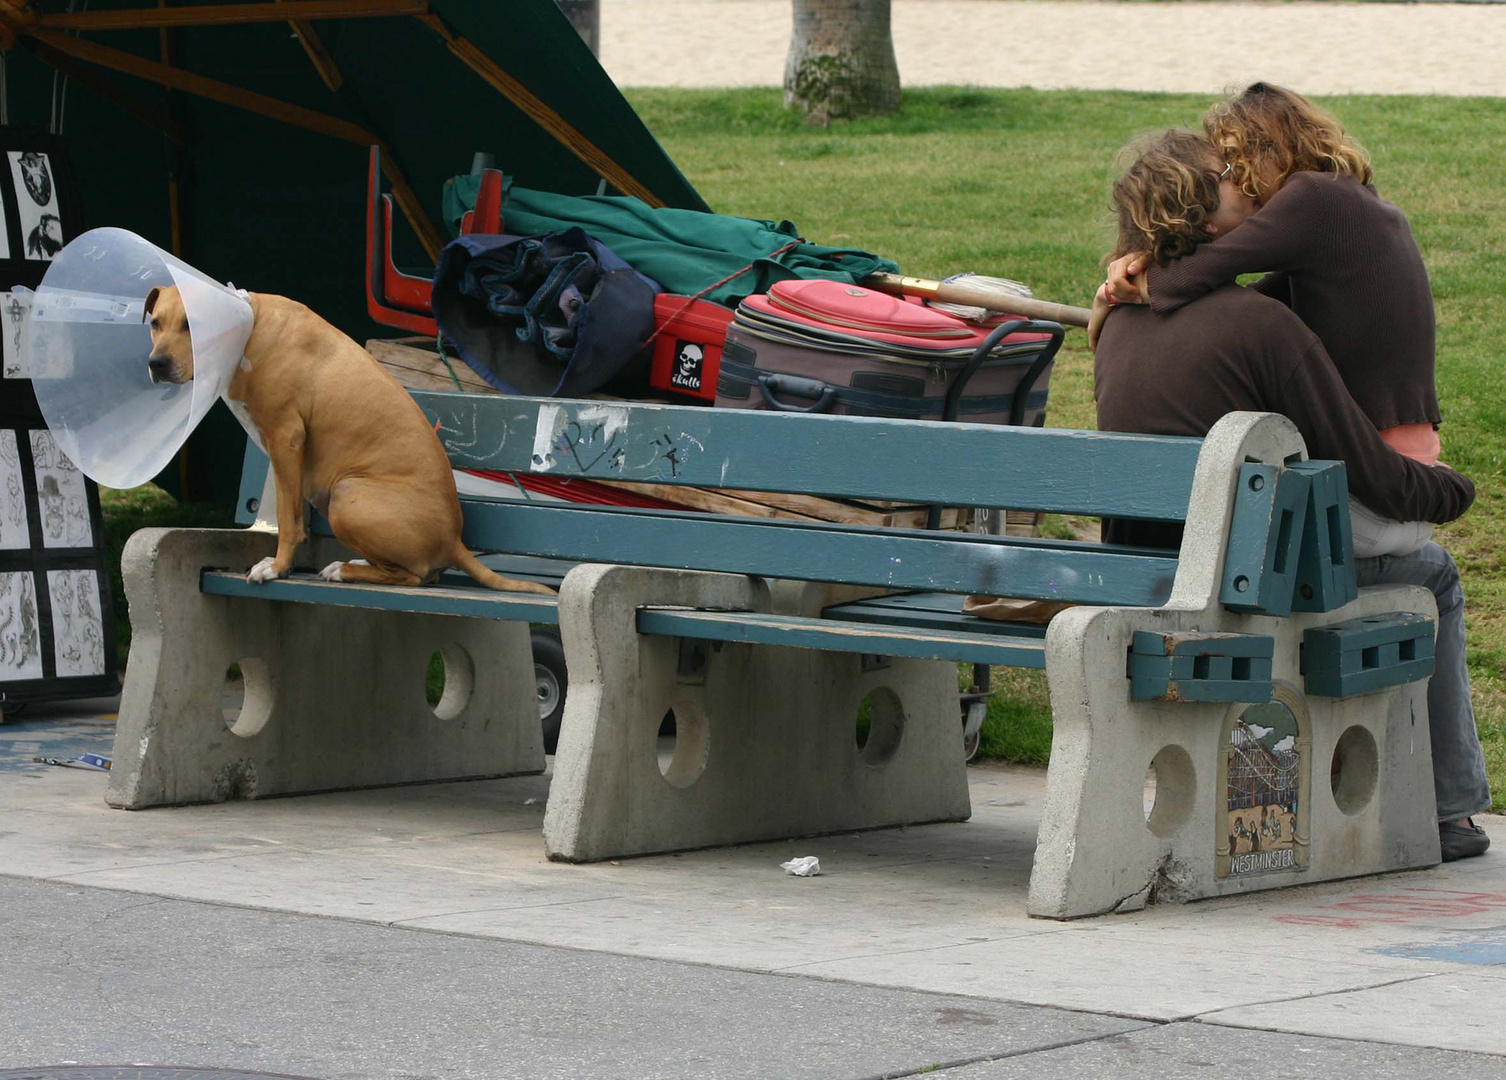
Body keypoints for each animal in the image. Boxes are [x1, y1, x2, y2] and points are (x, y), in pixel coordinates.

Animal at [143, 284, 557, 599]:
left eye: (192, 325)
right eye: (156, 323)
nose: (156, 363)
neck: (248, 326)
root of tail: (455, 540)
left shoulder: (286, 438)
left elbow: (288, 521)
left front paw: (276, 568)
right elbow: (294, 515)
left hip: (348, 494)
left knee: (414, 575)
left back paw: (344, 570)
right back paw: (355, 563)